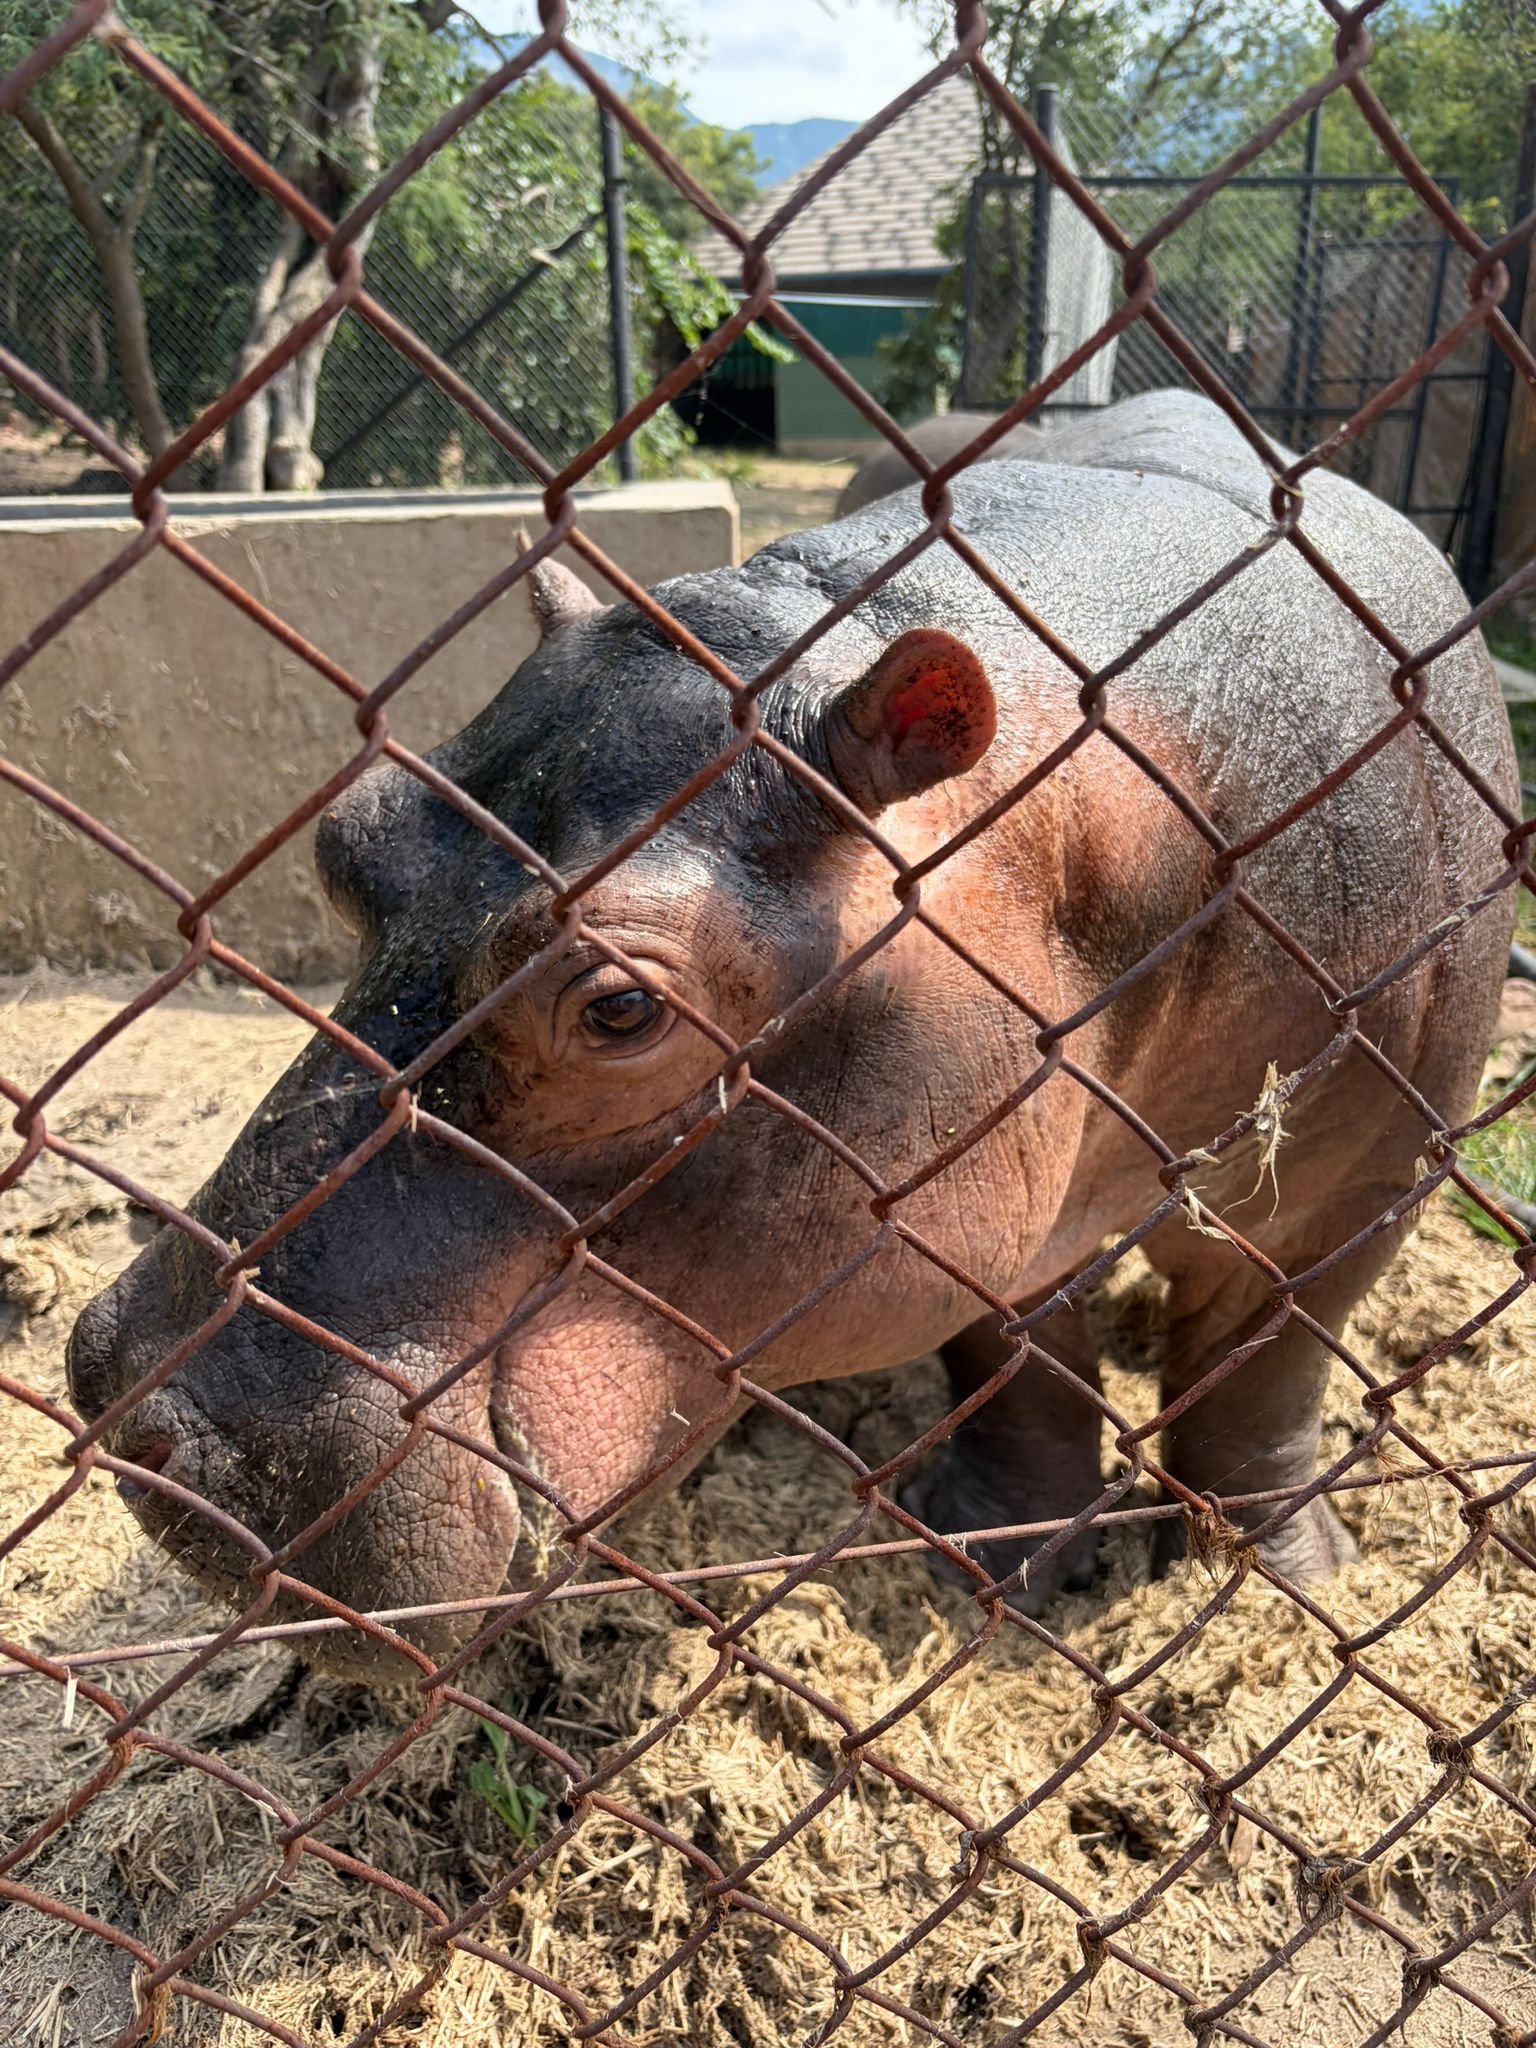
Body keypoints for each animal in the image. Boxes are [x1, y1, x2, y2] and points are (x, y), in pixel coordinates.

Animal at [67, 392, 1515, 1676]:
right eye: (347, 835)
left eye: (622, 1007)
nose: (141, 1411)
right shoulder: (998, 1201)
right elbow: (1020, 1368)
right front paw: (989, 1560)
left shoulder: (1380, 1180)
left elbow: (1266, 1380)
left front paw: (1280, 1580)